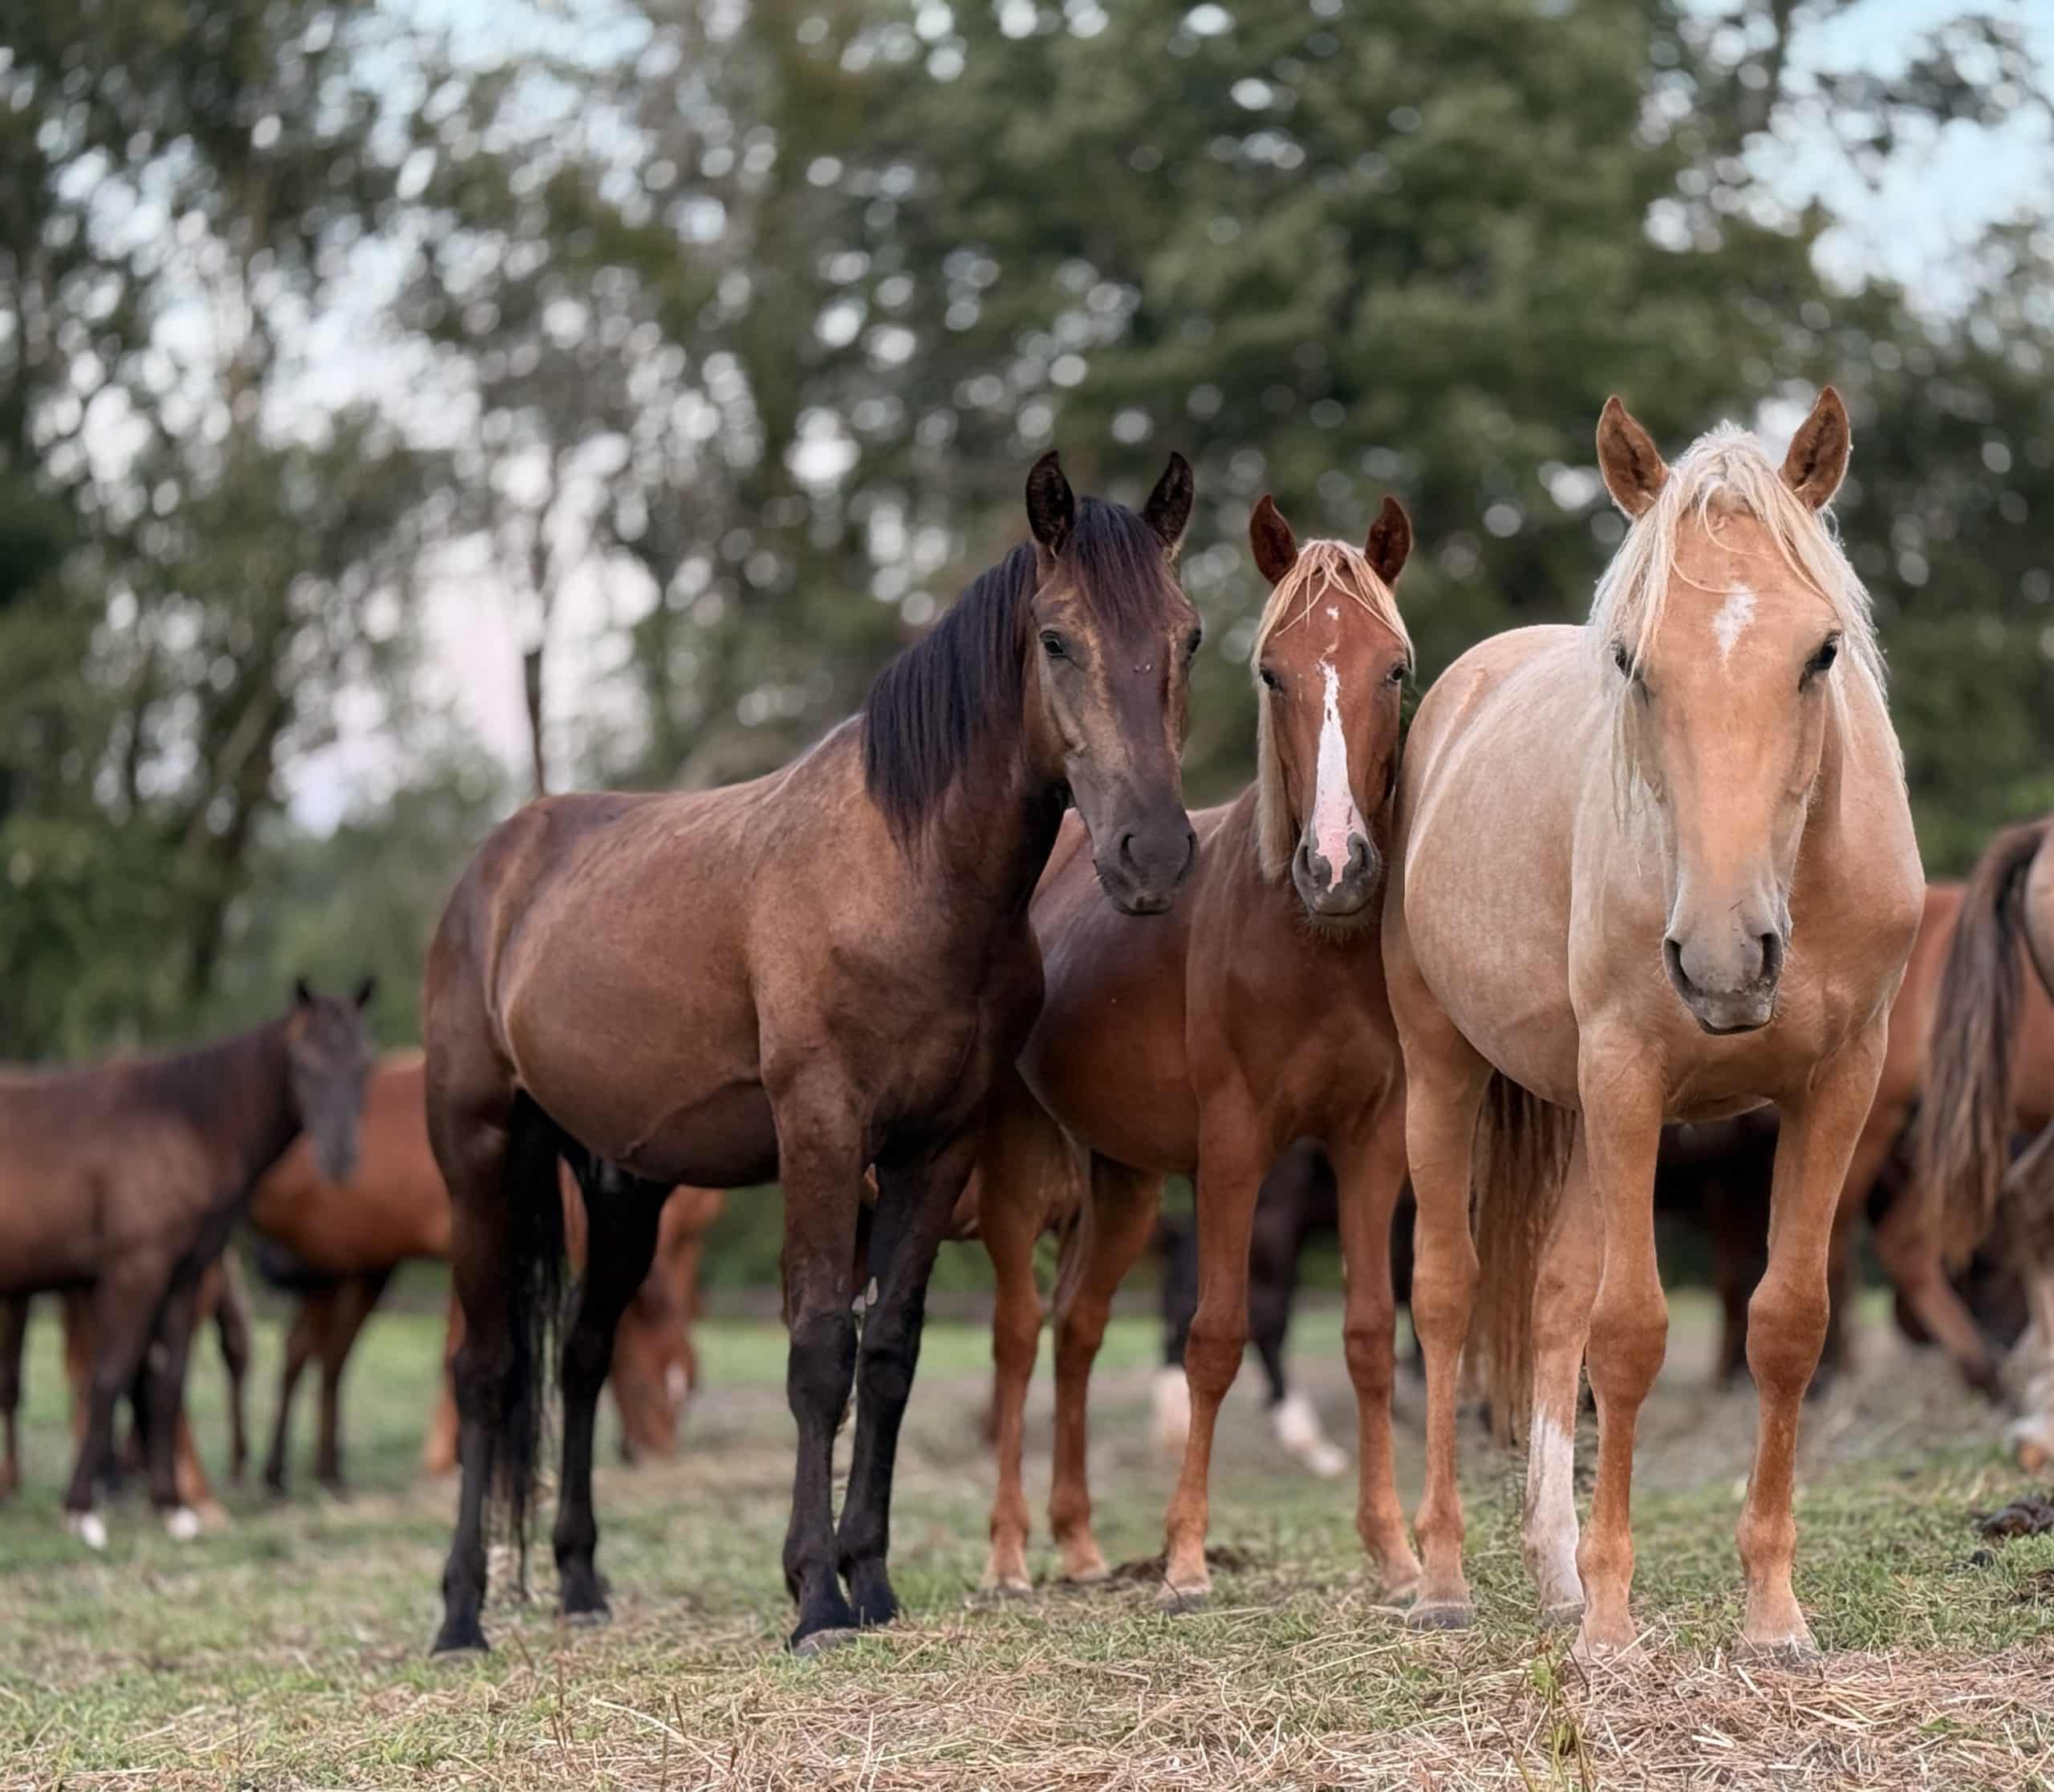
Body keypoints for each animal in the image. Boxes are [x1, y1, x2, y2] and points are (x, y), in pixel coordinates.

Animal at [0, 980, 374, 1543]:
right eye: (302, 1063)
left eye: (365, 1066)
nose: (339, 1158)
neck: (181, 1124)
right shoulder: (136, 1271)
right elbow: (111, 1375)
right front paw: (82, 1511)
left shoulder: (183, 1276)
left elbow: (167, 1384)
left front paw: (172, 1507)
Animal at [422, 451, 1200, 1654]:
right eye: (1057, 638)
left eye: (1190, 634)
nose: (1153, 856)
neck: (902, 877)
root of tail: (495, 868)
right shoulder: (823, 1130)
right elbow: (820, 1348)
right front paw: (814, 1595)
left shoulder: (937, 1145)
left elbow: (890, 1355)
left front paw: (869, 1580)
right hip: (481, 1158)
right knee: (489, 1370)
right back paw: (461, 1612)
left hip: (622, 1185)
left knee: (584, 1354)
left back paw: (583, 1583)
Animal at [975, 492, 1416, 1608]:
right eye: (1272, 671)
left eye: (1394, 667)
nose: (1337, 866)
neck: (1308, 942)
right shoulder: (1235, 1148)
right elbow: (1213, 1335)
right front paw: (1182, 1557)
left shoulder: (1369, 1142)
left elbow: (1366, 1332)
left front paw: (1393, 1550)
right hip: (1018, 1173)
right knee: (1017, 1332)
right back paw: (1009, 1552)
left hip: (1123, 1177)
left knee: (1080, 1324)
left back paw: (1080, 1542)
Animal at [1386, 390, 1920, 1661]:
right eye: (1632, 660)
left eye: (1821, 651)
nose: (1725, 958)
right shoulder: (1630, 1074)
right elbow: (1627, 1332)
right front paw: (1613, 1626)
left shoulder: (1840, 1083)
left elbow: (1786, 1322)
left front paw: (1771, 1614)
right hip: (1445, 1069)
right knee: (1446, 1292)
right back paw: (1447, 1581)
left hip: (1582, 1114)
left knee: (1548, 1300)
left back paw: (1554, 1570)